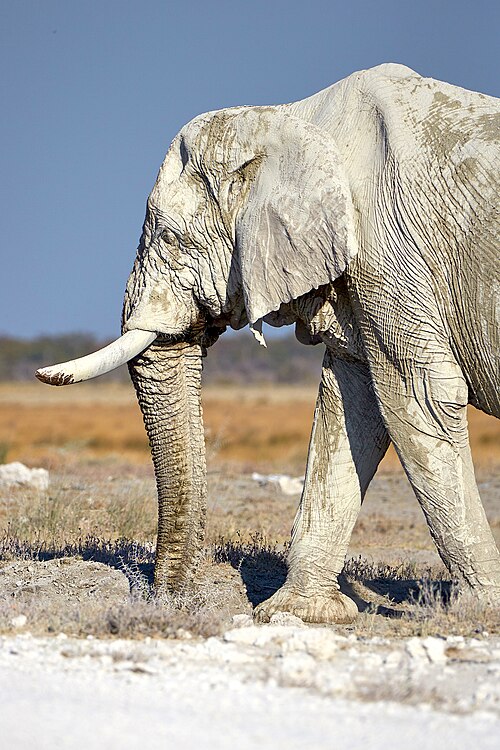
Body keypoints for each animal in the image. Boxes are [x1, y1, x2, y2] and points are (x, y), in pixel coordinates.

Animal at [37, 63, 500, 624]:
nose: (170, 600)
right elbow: (351, 407)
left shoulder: (389, 249)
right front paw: (299, 613)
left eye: (169, 237)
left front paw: (480, 611)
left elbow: (421, 396)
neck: (292, 119)